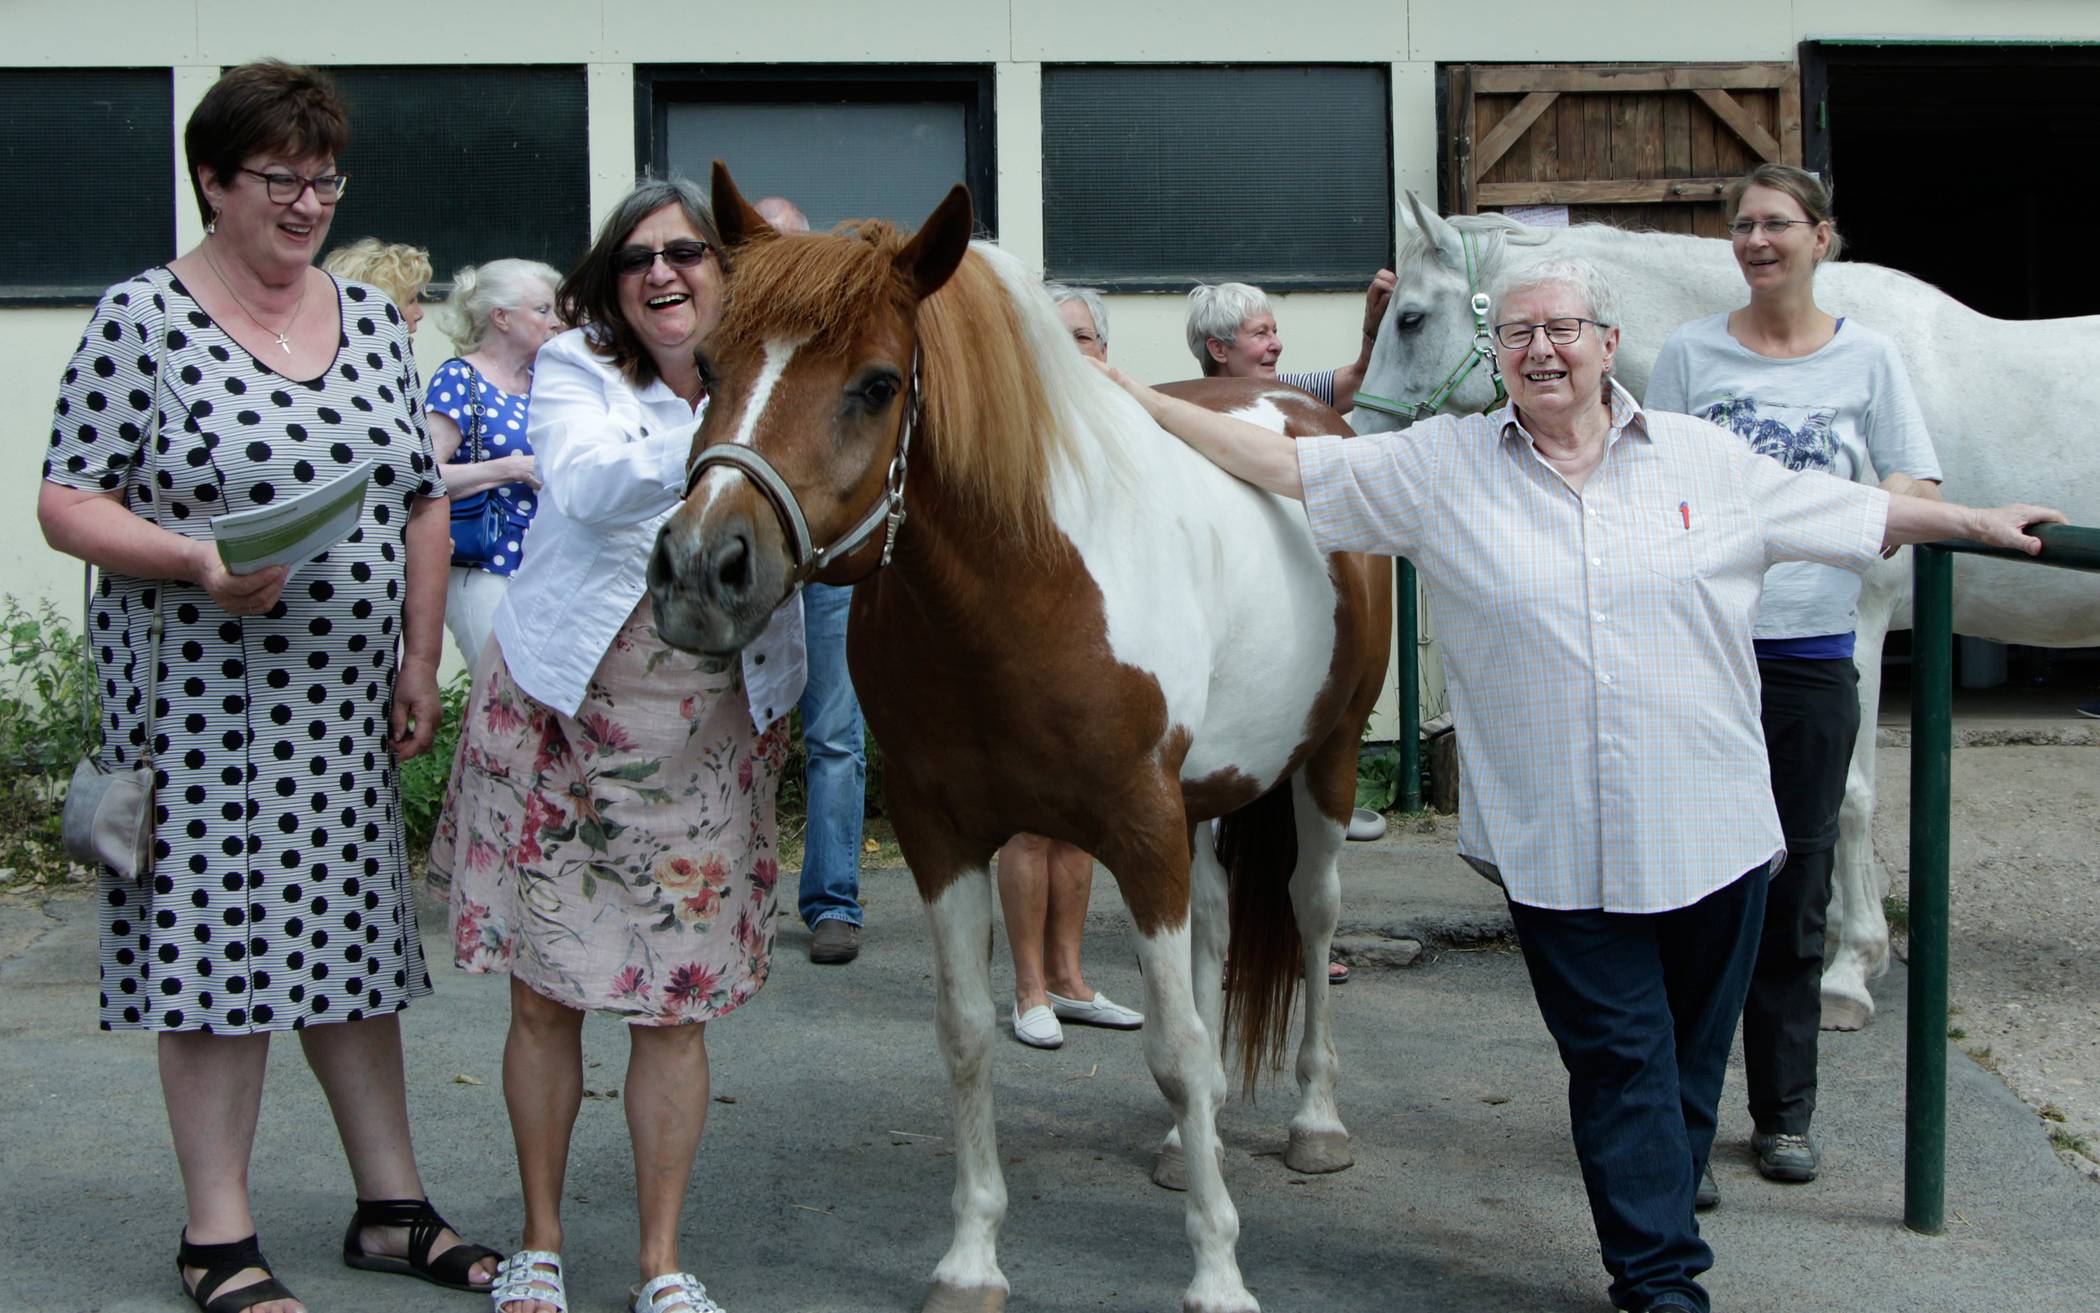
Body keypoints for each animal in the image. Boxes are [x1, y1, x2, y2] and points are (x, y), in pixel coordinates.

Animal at [642, 161, 1394, 1310]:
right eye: (709, 364)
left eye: (876, 384)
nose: (698, 567)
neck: (1023, 584)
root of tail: (1312, 417)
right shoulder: (942, 831)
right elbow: (966, 1036)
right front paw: (970, 1259)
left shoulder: (1140, 828)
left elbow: (1174, 1046)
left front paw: (1218, 1268)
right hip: (1210, 795)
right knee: (1221, 927)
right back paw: (1188, 1141)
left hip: (1330, 760)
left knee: (1310, 916)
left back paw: (1314, 1120)